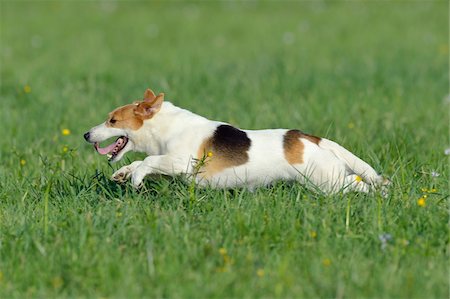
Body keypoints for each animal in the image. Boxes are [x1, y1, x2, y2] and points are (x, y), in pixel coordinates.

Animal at [83, 88, 386, 195]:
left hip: (325, 181)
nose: (86, 134)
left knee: (358, 182)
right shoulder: (169, 165)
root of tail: (314, 139)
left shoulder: (182, 162)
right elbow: (142, 163)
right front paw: (123, 173)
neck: (165, 126)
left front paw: (135, 178)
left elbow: (148, 160)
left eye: (112, 121)